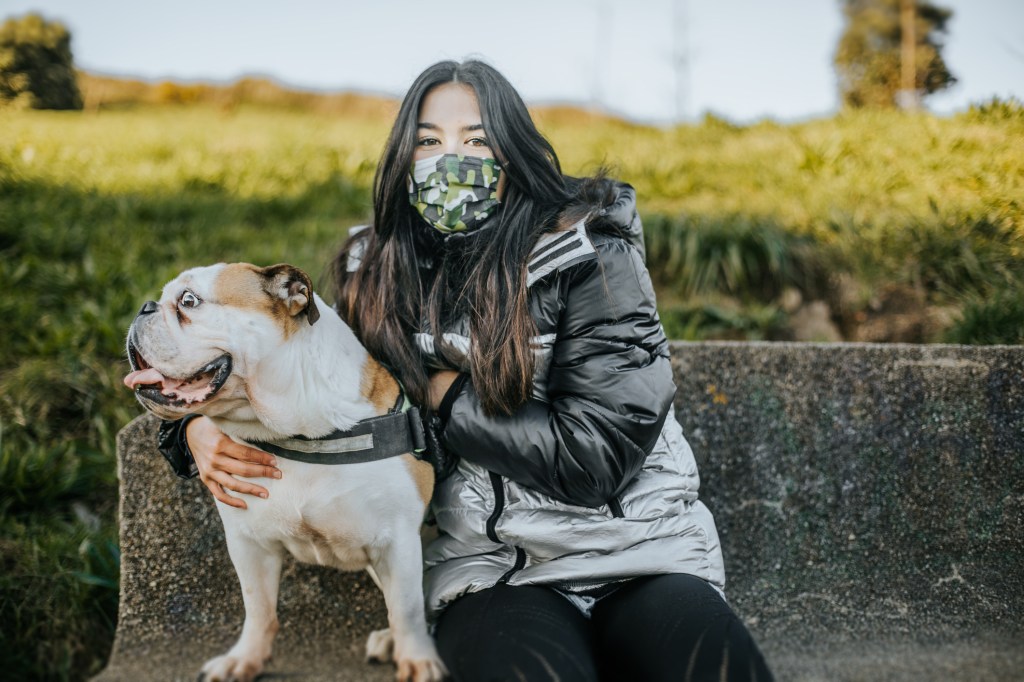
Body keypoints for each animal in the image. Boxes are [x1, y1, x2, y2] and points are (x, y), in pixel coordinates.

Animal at [121, 261, 446, 679]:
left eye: (188, 301)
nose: (143, 307)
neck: (298, 431)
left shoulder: (398, 542)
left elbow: (406, 609)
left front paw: (418, 660)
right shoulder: (249, 543)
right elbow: (258, 609)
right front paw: (244, 659)